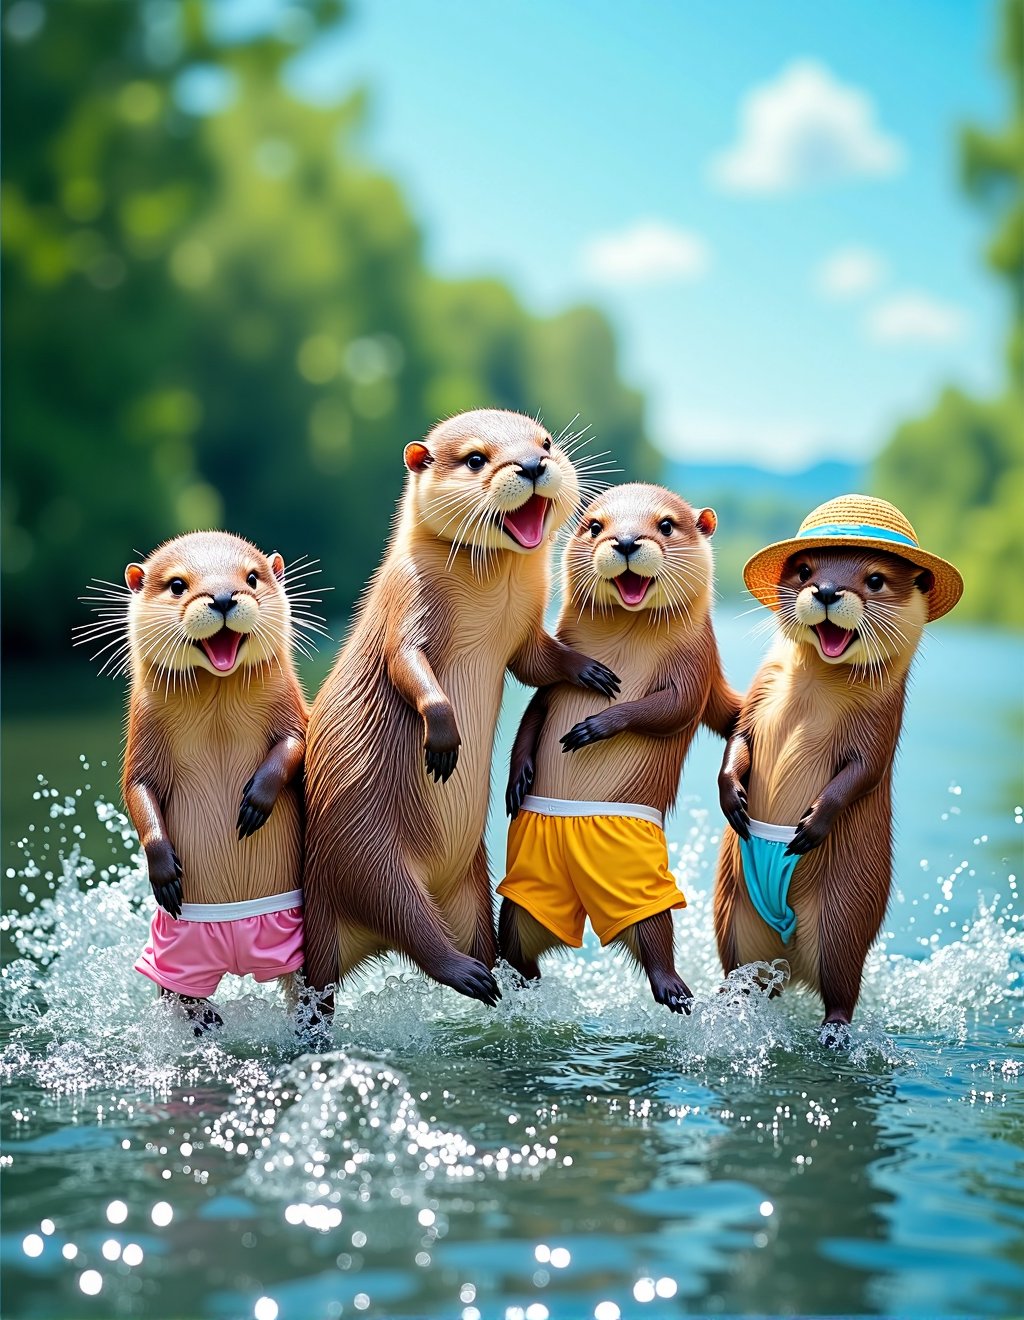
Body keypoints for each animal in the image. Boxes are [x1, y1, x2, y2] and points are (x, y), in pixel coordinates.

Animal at [78, 531, 311, 1031]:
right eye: (178, 585)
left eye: (252, 578)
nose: (223, 597)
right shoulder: (143, 730)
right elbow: (137, 789)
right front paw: (163, 869)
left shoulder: (291, 706)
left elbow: (294, 745)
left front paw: (254, 803)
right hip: (175, 952)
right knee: (179, 993)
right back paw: (206, 1020)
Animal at [302, 409, 620, 1006]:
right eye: (476, 458)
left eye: (546, 442)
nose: (533, 464)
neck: (489, 601)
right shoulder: (408, 599)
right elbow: (408, 665)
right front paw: (444, 736)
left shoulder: (525, 627)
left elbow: (539, 662)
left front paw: (588, 670)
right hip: (364, 848)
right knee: (404, 918)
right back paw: (466, 974)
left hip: (471, 885)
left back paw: (507, 977)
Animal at [498, 483, 741, 1011]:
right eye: (595, 525)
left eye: (666, 524)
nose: (626, 542)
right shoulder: (552, 678)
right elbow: (533, 715)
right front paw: (517, 781)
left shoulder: (696, 666)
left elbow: (670, 708)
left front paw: (595, 726)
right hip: (528, 893)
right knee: (517, 937)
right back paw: (517, 982)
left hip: (639, 885)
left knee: (654, 933)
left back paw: (675, 991)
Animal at [713, 495, 964, 1042]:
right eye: (806, 569)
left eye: (875, 579)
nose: (827, 589)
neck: (811, 693)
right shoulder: (757, 696)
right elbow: (738, 739)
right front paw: (732, 799)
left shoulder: (879, 725)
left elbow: (860, 774)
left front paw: (811, 825)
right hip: (733, 917)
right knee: (745, 973)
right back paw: (727, 1008)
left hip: (844, 914)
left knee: (842, 987)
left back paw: (834, 1033)